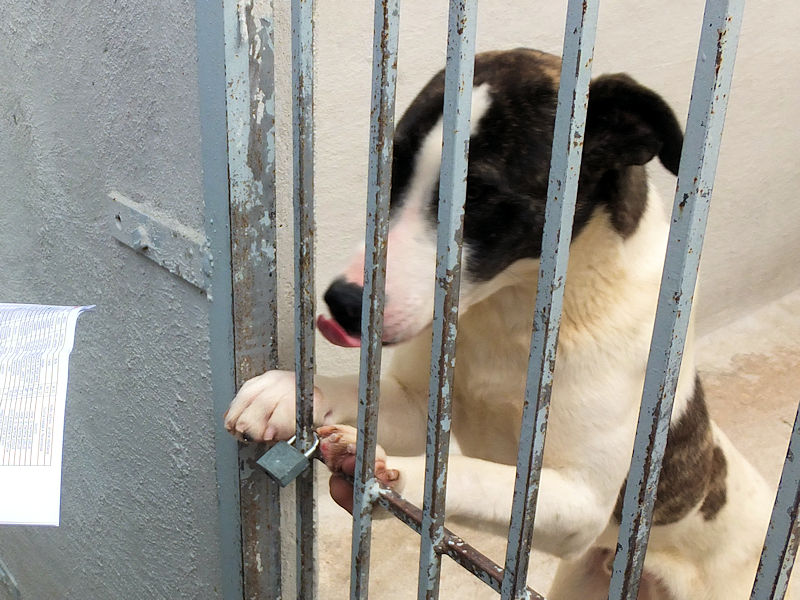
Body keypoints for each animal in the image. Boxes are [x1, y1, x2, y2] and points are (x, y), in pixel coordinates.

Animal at [224, 49, 774, 599]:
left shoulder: (580, 502)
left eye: (480, 195)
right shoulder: (422, 406)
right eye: (394, 165)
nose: (342, 302)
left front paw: (386, 471)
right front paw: (289, 391)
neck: (512, 316)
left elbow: (467, 479)